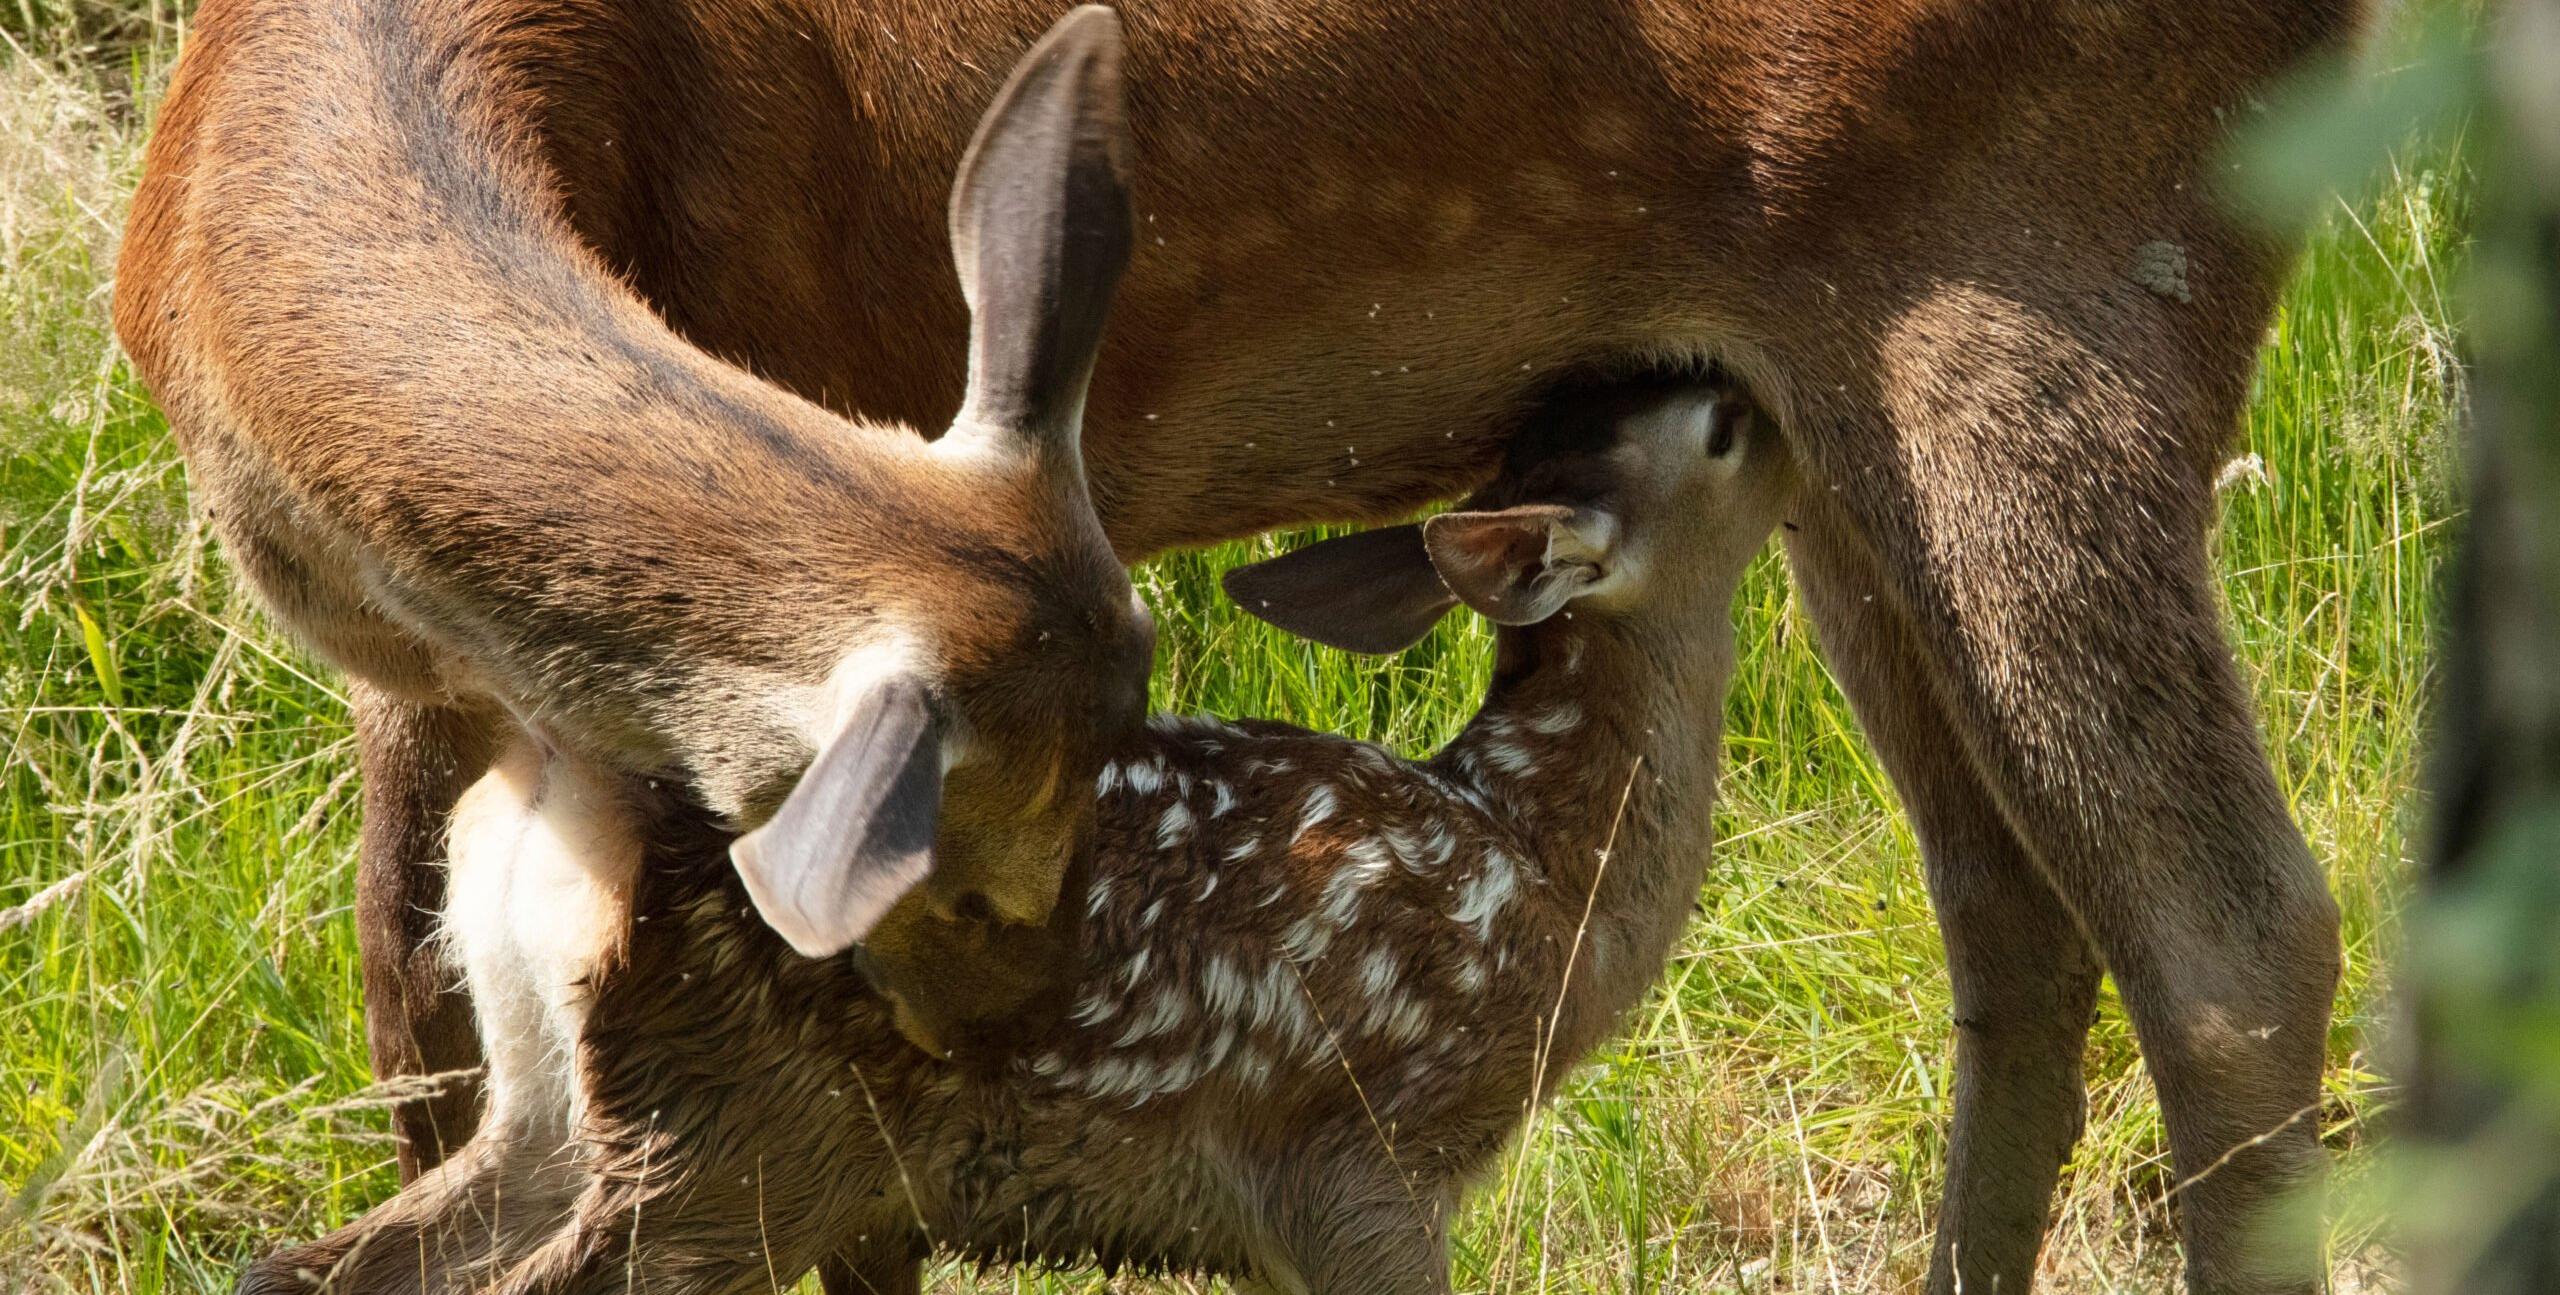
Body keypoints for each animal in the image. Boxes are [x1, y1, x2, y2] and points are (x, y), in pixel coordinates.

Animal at [120, 2, 2355, 1295]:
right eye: (985, 850)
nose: (1023, 1023)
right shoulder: (434, 678)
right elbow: (412, 1045)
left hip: (2045, 268)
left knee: (2231, 935)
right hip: (1856, 415)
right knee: (2016, 909)